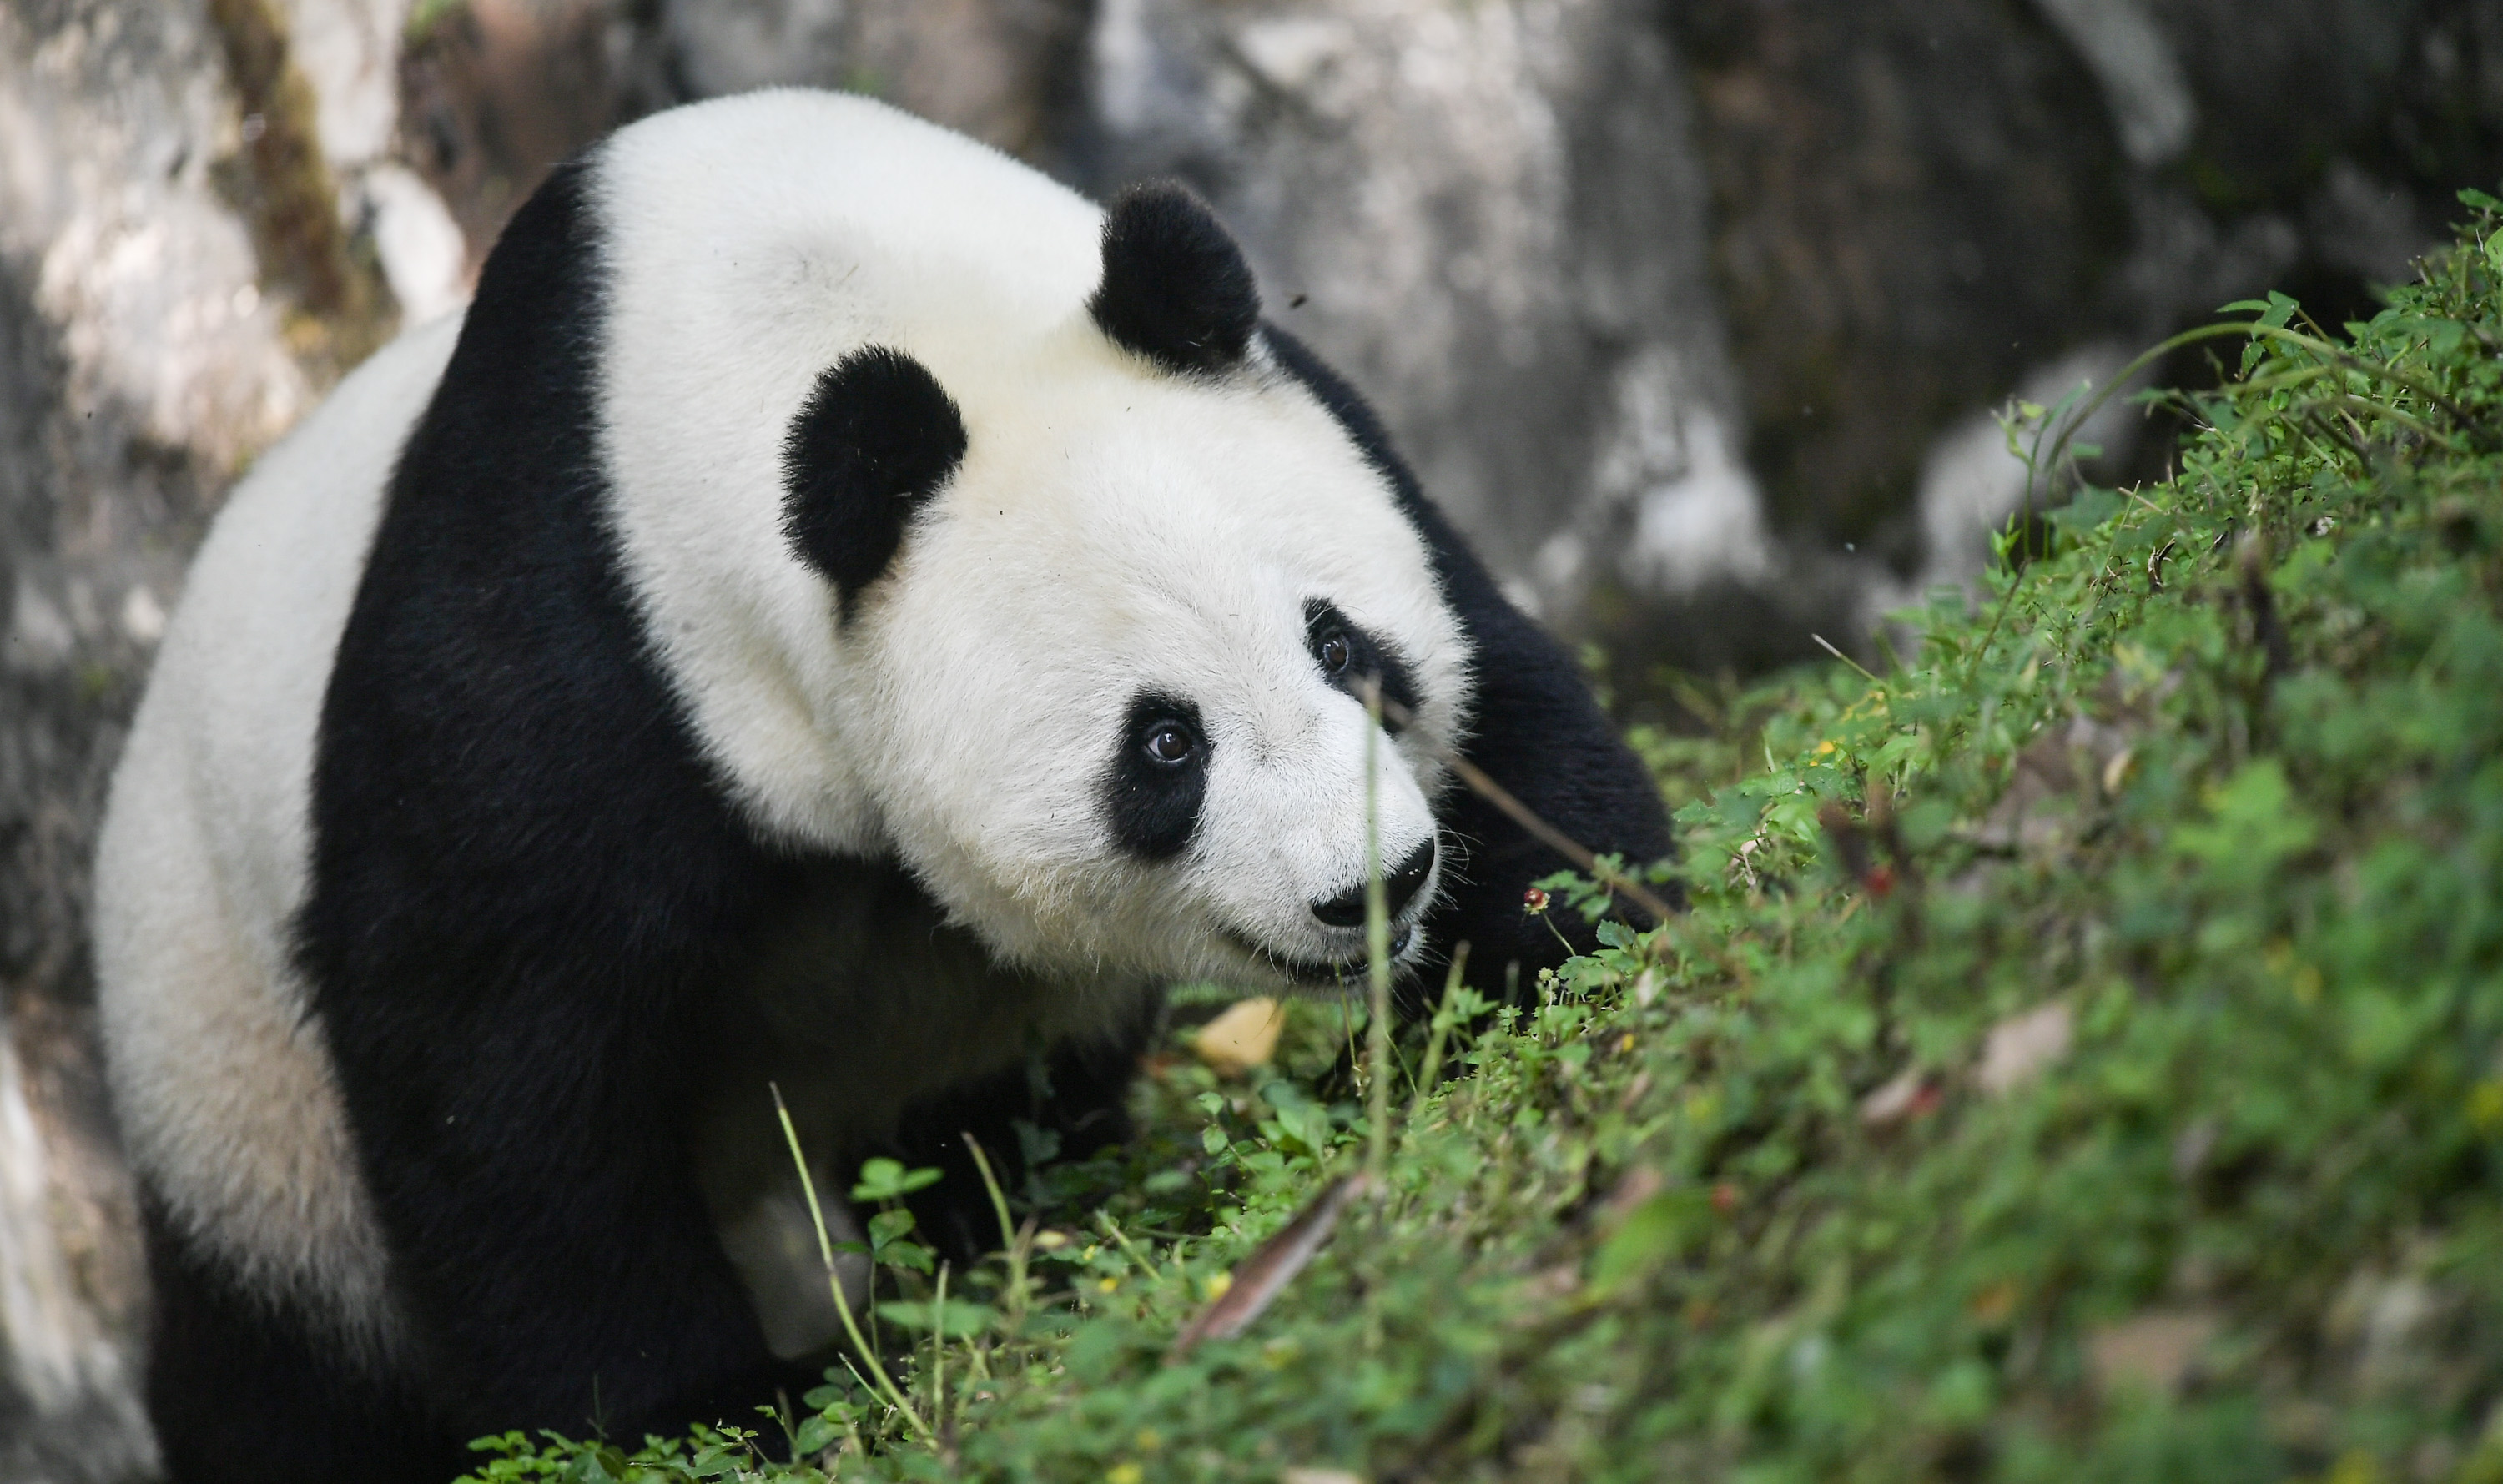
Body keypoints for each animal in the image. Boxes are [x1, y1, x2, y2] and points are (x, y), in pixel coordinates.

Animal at [93, 87, 1662, 1471]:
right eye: (1166, 746)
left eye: (1340, 643)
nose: (1374, 885)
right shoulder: (570, 637)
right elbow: (494, 1063)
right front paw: (712, 1413)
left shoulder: (1332, 427)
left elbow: (1512, 717)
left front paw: (1560, 969)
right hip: (234, 1090)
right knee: (285, 1372)